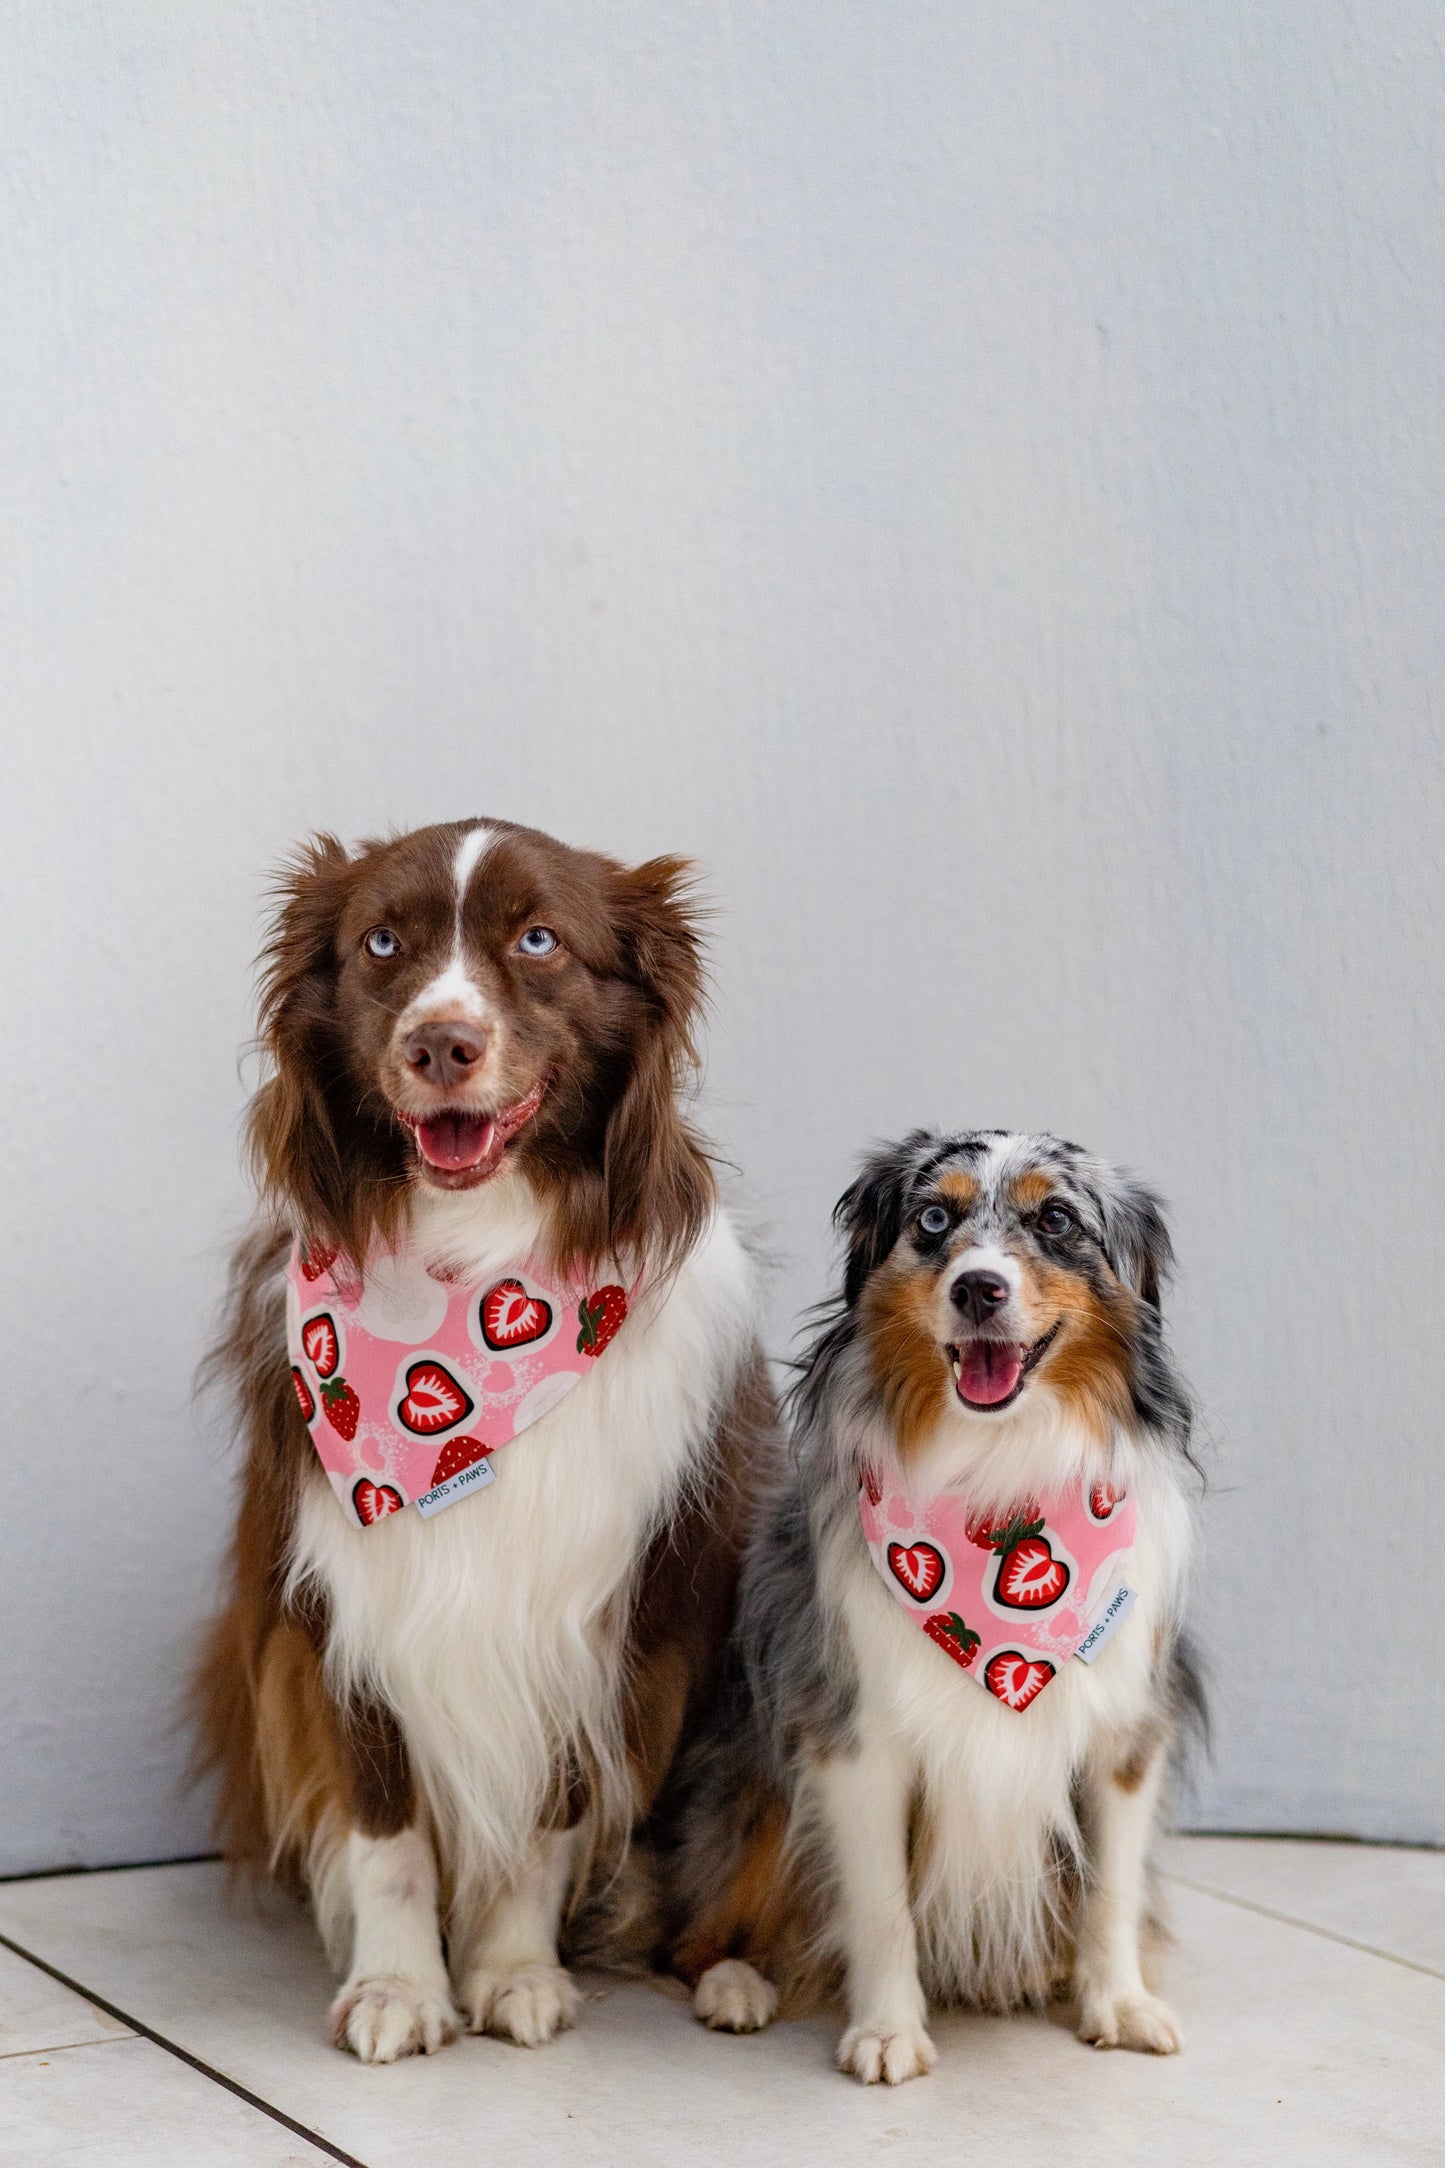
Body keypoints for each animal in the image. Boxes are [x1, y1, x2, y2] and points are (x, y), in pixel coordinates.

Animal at [198, 819, 779, 2055]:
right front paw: (399, 1986)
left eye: (540, 939)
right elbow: (386, 1831)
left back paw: (729, 1975)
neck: (472, 1268)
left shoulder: (600, 1616)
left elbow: (547, 1820)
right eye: (381, 942)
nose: (442, 1043)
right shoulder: (344, 1599)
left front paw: (512, 1969)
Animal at [671, 1127, 1204, 2072]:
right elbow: (880, 1905)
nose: (977, 1287)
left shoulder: (1123, 1736)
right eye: (932, 1219)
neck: (997, 1476)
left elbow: (1111, 1890)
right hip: (751, 1782)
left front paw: (1117, 2000)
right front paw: (887, 2030)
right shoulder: (854, 1736)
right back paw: (734, 1983)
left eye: (1056, 1218)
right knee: (687, 1929)